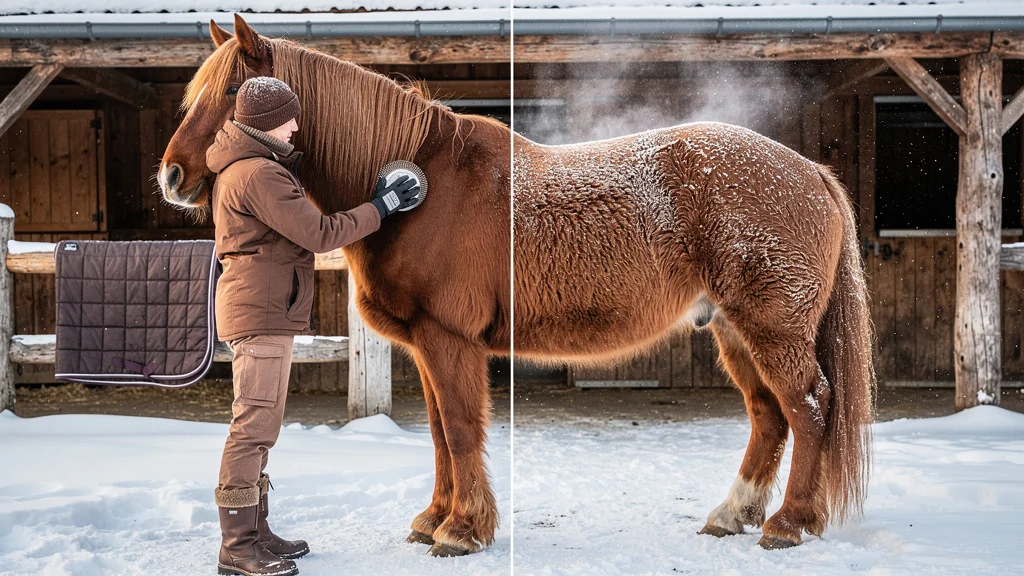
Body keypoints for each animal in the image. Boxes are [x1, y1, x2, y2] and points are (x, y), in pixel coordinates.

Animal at [513, 125, 875, 548]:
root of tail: (813, 173)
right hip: (738, 334)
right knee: (769, 414)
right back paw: (734, 514)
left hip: (776, 331)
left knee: (809, 407)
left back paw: (787, 524)